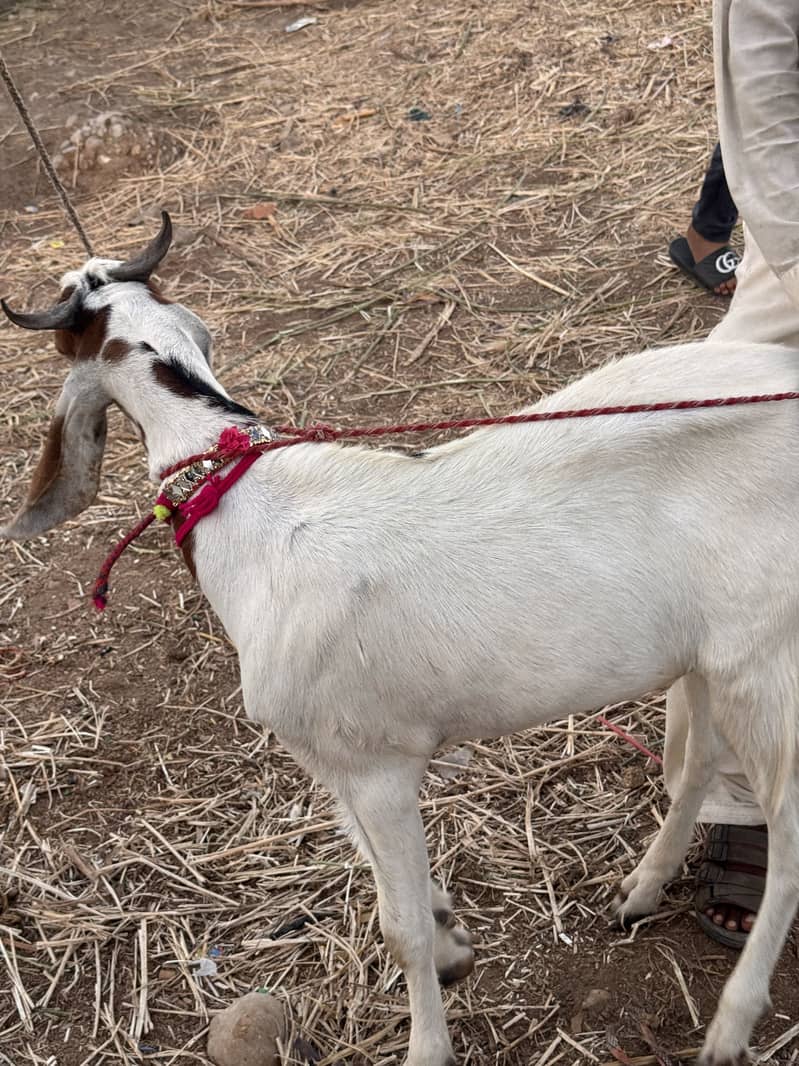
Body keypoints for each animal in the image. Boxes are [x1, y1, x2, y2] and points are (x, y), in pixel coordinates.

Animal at [4, 213, 799, 1066]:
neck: (250, 507)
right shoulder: (329, 753)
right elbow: (377, 865)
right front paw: (452, 941)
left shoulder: (376, 762)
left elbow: (399, 925)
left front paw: (428, 1035)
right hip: (708, 656)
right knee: (697, 765)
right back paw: (641, 891)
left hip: (768, 659)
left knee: (787, 828)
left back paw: (729, 1025)